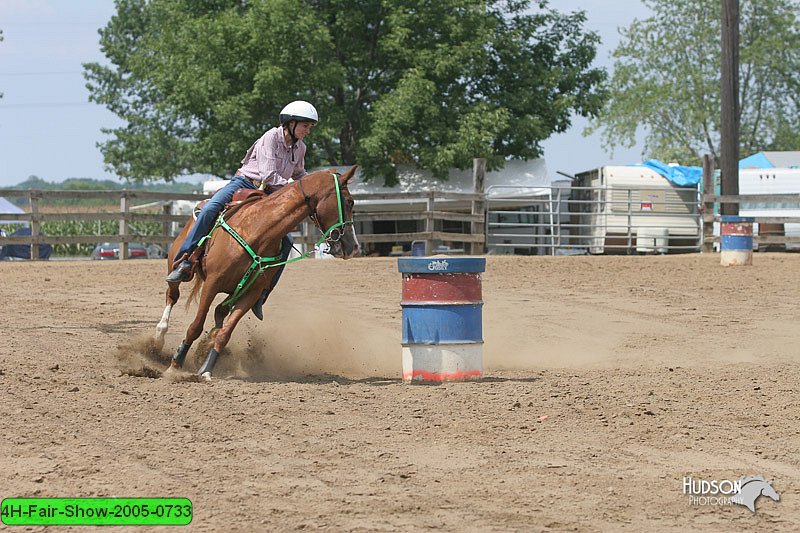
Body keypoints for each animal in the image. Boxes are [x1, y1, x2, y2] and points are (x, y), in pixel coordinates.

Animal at [153, 166, 360, 378]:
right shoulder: (212, 283)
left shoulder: (252, 293)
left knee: (220, 311)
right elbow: (196, 326)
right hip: (176, 264)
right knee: (173, 295)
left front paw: (206, 368)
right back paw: (159, 337)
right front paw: (176, 363)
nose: (353, 246)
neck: (258, 231)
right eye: (349, 201)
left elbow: (225, 333)